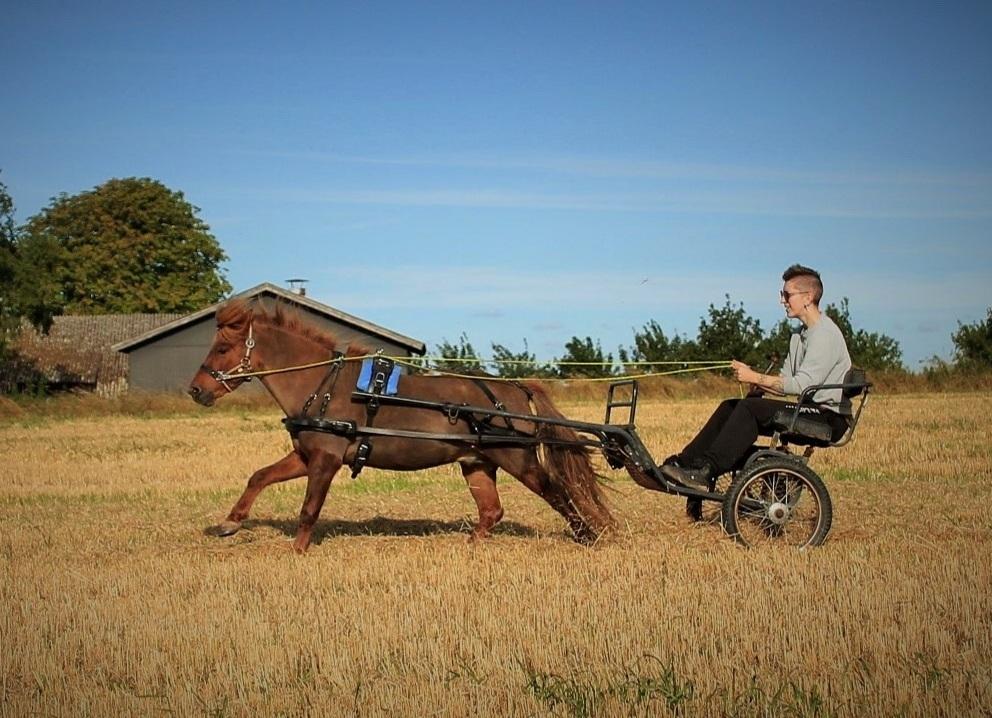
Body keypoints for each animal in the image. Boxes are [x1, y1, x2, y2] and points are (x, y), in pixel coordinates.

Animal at [188, 300, 612, 556]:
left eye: (222, 348)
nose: (196, 390)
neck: (322, 384)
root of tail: (514, 388)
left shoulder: (326, 459)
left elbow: (309, 508)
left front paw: (298, 551)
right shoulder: (305, 455)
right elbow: (259, 477)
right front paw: (230, 523)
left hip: (517, 459)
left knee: (556, 492)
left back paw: (587, 536)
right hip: (477, 463)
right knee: (492, 510)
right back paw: (470, 545)